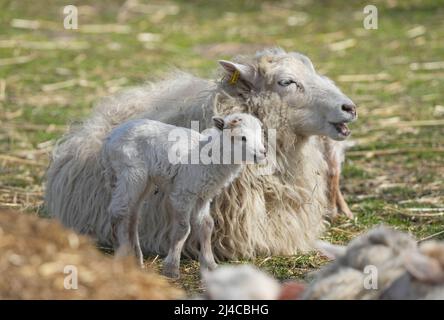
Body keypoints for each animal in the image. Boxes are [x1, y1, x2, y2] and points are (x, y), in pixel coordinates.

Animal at [102, 112, 266, 278]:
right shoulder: (183, 193)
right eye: (242, 138)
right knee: (118, 212)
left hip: (145, 181)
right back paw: (123, 255)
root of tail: (111, 136)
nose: (263, 153)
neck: (211, 157)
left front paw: (210, 265)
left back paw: (137, 260)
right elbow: (183, 229)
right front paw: (172, 267)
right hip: (130, 171)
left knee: (132, 216)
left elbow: (207, 225)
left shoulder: (203, 195)